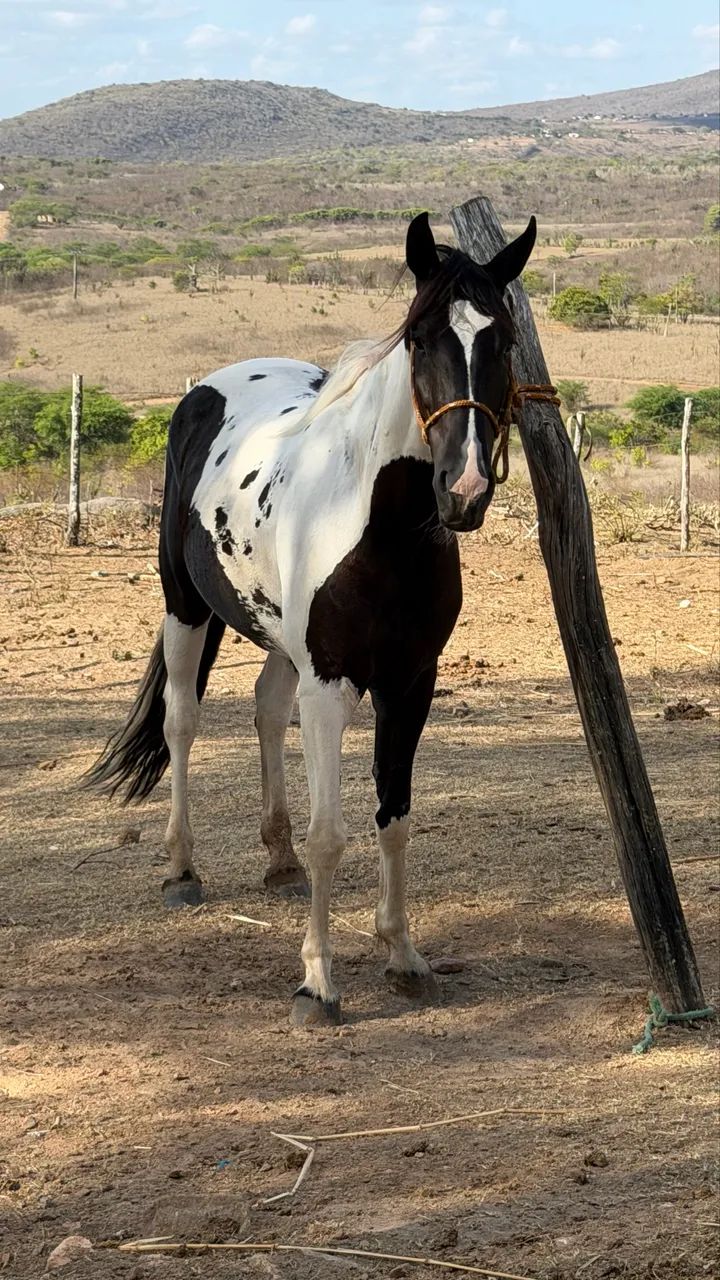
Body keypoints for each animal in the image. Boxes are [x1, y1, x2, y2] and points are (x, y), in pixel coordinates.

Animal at [86, 210, 537, 1026]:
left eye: (504, 339)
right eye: (421, 337)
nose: (463, 489)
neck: (378, 529)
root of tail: (211, 387)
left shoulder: (408, 684)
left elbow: (395, 816)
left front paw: (404, 957)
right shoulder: (330, 684)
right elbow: (334, 834)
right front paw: (317, 983)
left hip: (277, 637)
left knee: (266, 709)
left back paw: (279, 859)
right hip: (184, 608)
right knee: (181, 721)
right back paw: (182, 870)